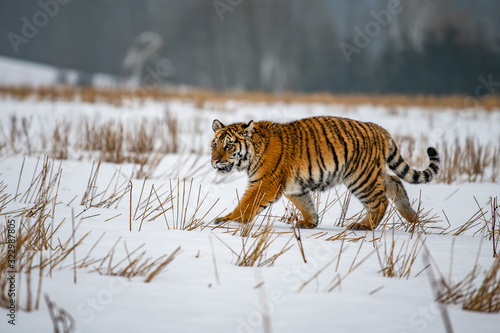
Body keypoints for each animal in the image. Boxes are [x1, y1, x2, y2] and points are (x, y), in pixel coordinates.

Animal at [211, 115, 442, 230]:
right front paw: (309, 223)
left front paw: (227, 220)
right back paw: (412, 217)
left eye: (229, 145)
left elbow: (246, 205)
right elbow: (306, 204)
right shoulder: (294, 187)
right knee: (396, 183)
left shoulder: (265, 183)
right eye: (215, 144)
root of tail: (379, 129)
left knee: (380, 200)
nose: (214, 160)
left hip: (361, 177)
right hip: (374, 172)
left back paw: (364, 226)